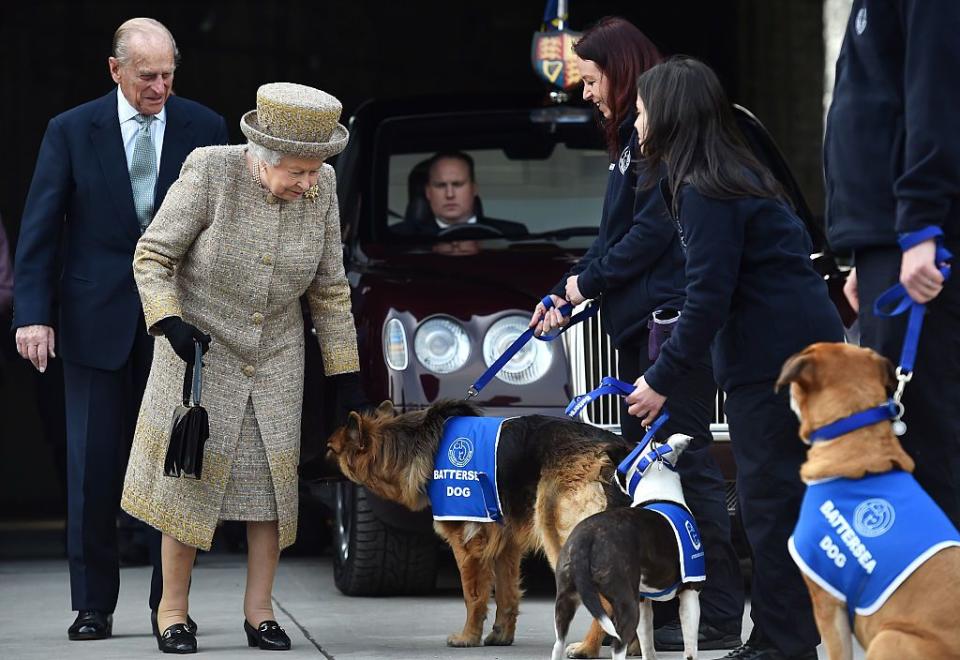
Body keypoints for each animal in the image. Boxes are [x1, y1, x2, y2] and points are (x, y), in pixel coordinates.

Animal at [326, 398, 632, 656]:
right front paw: (501, 636)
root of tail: (612, 447)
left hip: (562, 540)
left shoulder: (467, 544)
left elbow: (473, 597)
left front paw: (468, 638)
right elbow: (507, 595)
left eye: (329, 449)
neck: (417, 441)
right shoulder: (507, 545)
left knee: (605, 602)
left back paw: (588, 649)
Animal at [548, 434, 704, 660]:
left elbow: (647, 645)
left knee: (558, 644)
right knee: (618, 647)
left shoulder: (643, 601)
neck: (659, 492)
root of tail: (587, 539)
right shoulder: (690, 593)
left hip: (566, 602)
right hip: (626, 605)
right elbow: (690, 648)